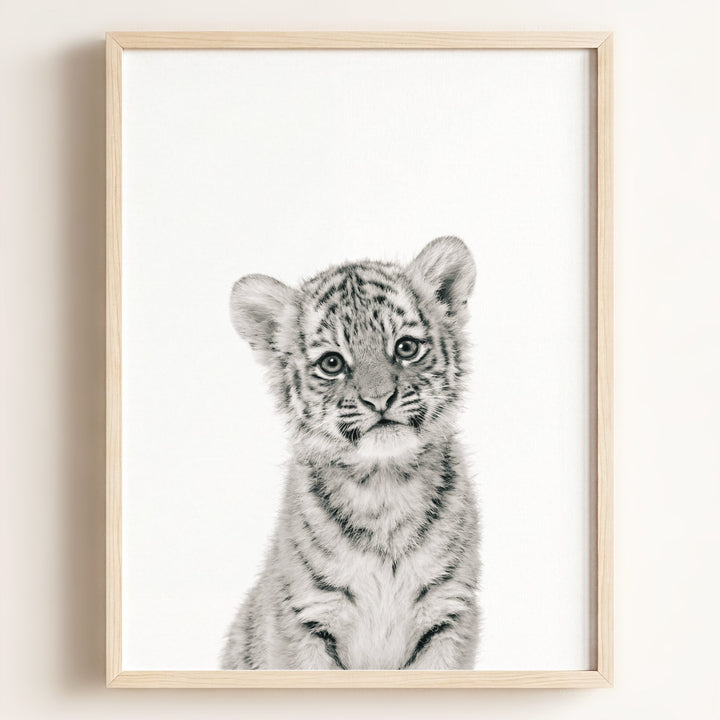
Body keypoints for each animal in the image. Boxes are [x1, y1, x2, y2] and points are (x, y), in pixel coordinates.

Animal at [221, 236, 480, 670]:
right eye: (332, 363)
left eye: (406, 347)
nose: (380, 399)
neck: (384, 486)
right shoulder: (306, 619)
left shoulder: (448, 614)